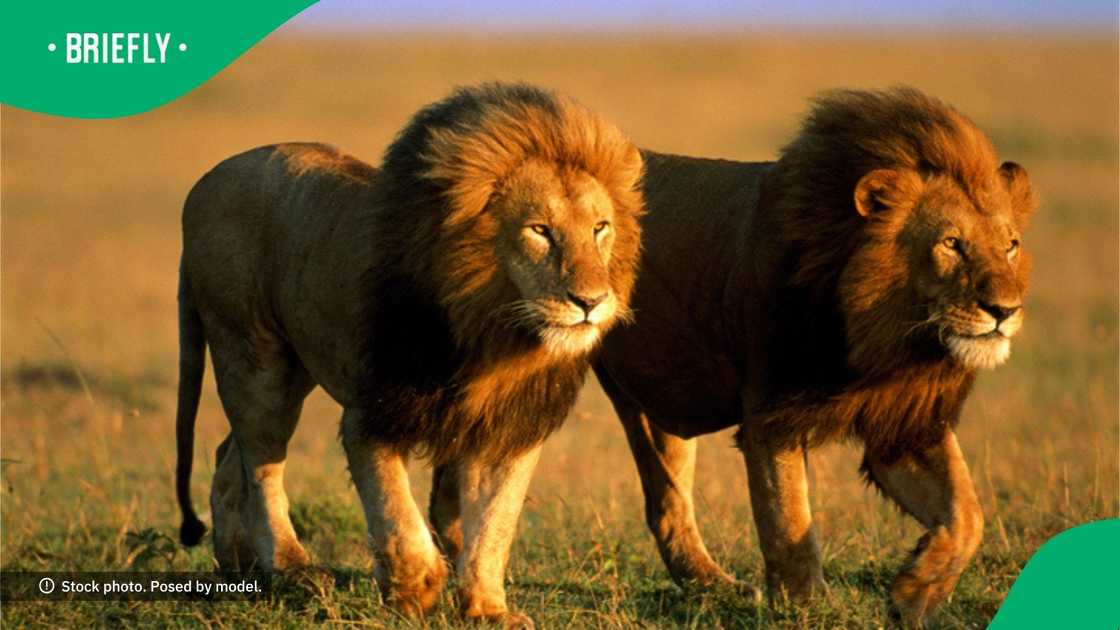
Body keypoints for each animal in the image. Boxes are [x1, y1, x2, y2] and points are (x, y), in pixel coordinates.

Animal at [174, 83, 644, 626]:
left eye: (600, 228)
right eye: (540, 230)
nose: (590, 301)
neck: (496, 334)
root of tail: (204, 182)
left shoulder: (508, 429)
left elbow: (495, 527)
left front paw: (488, 609)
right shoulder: (372, 414)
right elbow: (396, 512)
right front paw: (415, 589)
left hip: (292, 367)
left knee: (231, 455)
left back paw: (239, 565)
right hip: (254, 356)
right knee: (261, 464)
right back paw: (292, 569)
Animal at [429, 88, 1036, 625]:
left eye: (1010, 245)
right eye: (951, 243)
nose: (1003, 310)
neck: (889, 337)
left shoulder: (903, 419)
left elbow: (967, 515)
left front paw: (912, 593)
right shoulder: (772, 415)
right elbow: (789, 525)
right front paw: (807, 610)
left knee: (665, 505)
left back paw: (711, 586)